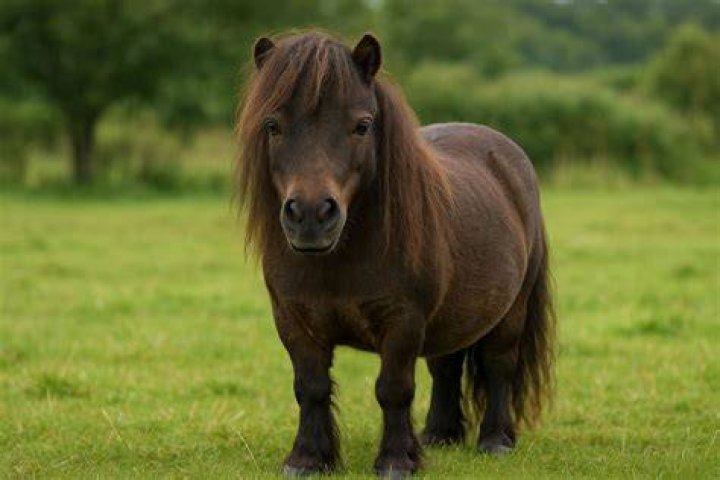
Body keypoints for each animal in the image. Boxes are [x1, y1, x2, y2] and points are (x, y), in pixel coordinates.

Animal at [235, 31, 555, 477]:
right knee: (445, 365)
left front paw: (396, 460)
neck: (341, 259)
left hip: (510, 311)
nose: (312, 215)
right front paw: (308, 459)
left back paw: (495, 440)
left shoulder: (403, 321)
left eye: (362, 126)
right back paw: (439, 435)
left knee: (498, 364)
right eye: (272, 125)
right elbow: (310, 387)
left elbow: (393, 389)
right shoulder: (294, 321)